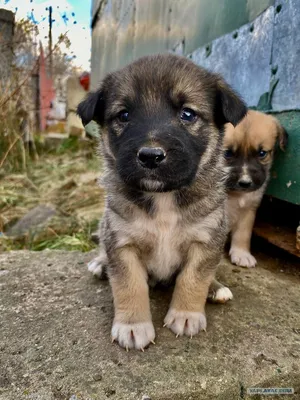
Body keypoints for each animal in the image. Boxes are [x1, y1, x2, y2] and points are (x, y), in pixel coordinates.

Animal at [77, 54, 246, 350]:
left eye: (187, 114)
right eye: (124, 115)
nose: (150, 156)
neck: (163, 197)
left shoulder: (206, 239)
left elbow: (193, 278)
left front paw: (187, 314)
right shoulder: (122, 242)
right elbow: (129, 285)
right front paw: (133, 326)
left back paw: (216, 288)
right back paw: (100, 264)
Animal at [224, 109, 288, 268]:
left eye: (262, 153)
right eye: (227, 153)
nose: (245, 183)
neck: (235, 195)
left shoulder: (249, 210)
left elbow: (243, 234)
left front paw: (242, 253)